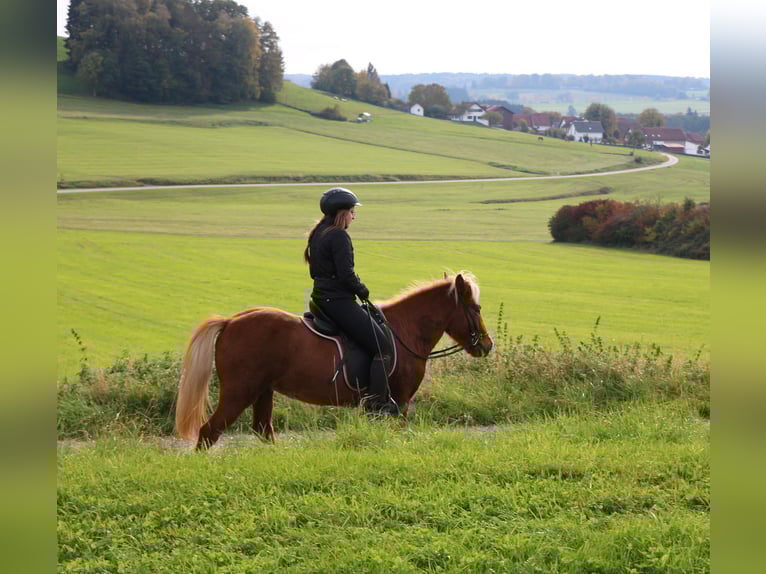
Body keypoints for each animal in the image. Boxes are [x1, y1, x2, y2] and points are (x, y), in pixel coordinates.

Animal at [175, 272, 494, 449]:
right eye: (476, 308)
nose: (487, 345)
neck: (405, 329)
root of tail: (230, 322)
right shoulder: (400, 402)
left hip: (263, 391)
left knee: (263, 431)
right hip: (239, 392)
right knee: (209, 431)